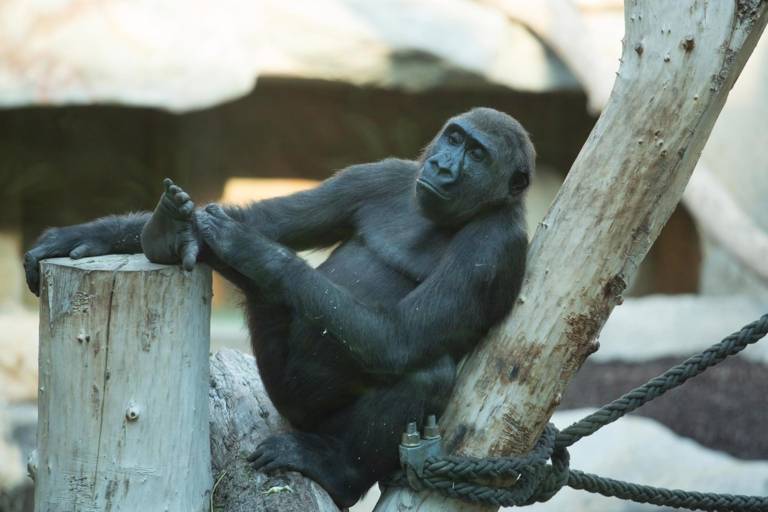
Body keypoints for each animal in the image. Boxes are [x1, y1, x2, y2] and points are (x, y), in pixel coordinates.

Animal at [22, 107, 536, 504]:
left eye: (478, 154)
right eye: (454, 138)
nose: (445, 166)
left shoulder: (497, 244)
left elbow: (400, 337)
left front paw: (247, 244)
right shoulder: (377, 175)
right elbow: (266, 219)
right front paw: (81, 235)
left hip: (306, 416)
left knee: (422, 370)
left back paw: (338, 472)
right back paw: (166, 233)